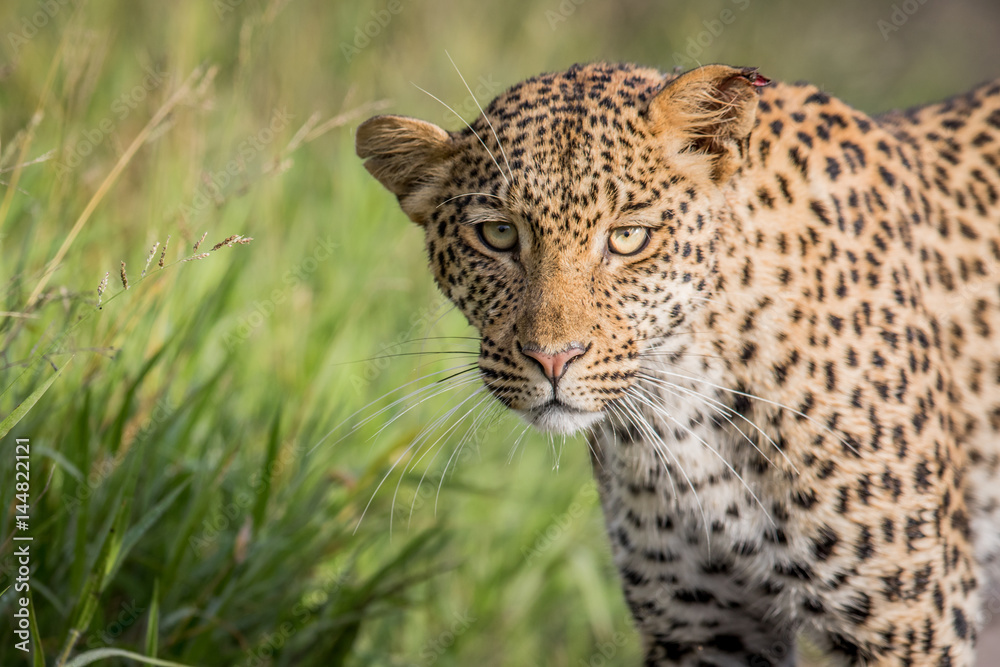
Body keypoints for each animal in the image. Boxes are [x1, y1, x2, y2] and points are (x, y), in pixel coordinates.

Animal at [354, 61, 1000, 666]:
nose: (552, 359)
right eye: (497, 235)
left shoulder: (908, 623)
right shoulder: (704, 626)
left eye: (628, 238)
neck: (685, 408)